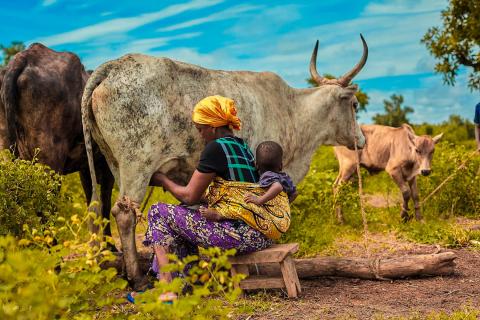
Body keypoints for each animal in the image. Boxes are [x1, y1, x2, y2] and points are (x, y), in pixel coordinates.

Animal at [81, 35, 368, 288]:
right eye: (354, 105)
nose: (362, 140)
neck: (293, 112)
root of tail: (113, 66)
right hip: (137, 165)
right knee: (124, 213)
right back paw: (137, 278)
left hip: (114, 164)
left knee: (100, 209)